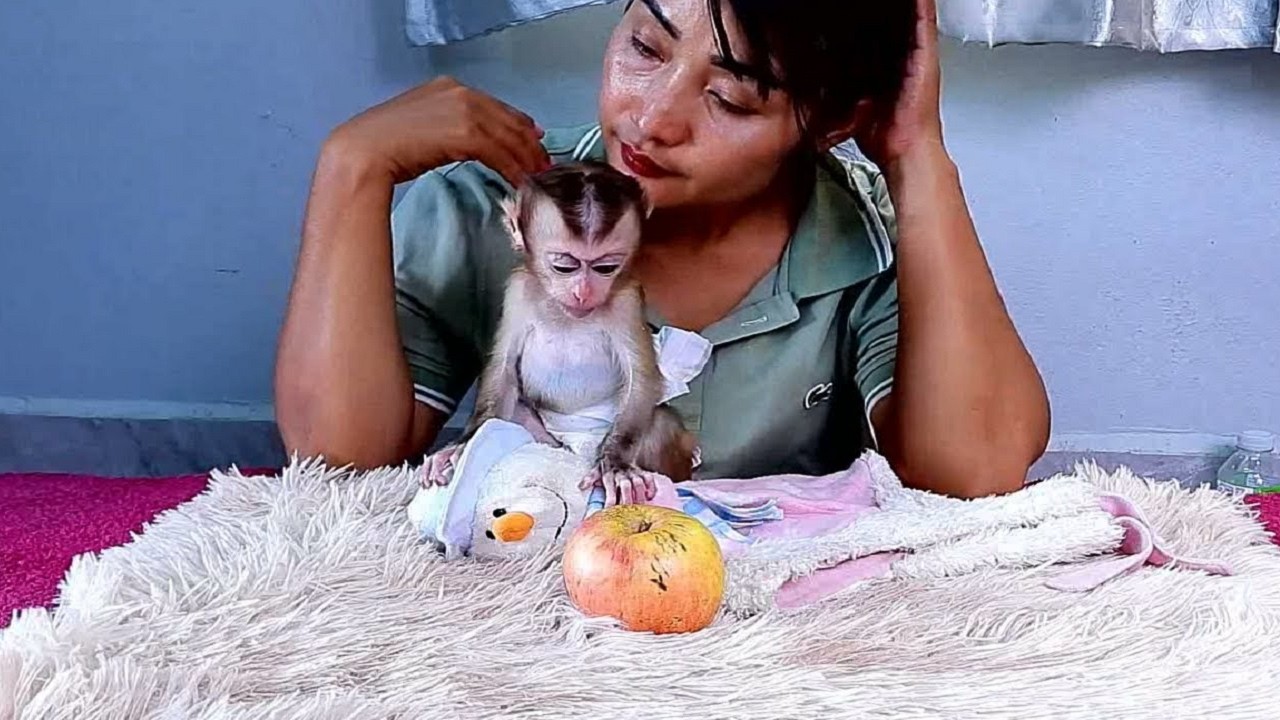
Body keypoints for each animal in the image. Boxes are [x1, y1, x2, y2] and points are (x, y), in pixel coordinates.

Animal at [420, 160, 697, 507]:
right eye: (564, 267)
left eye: (606, 268)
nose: (583, 292)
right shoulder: (518, 290)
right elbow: (503, 369)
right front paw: (465, 442)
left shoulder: (627, 299)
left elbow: (642, 377)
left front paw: (616, 463)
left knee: (659, 422)